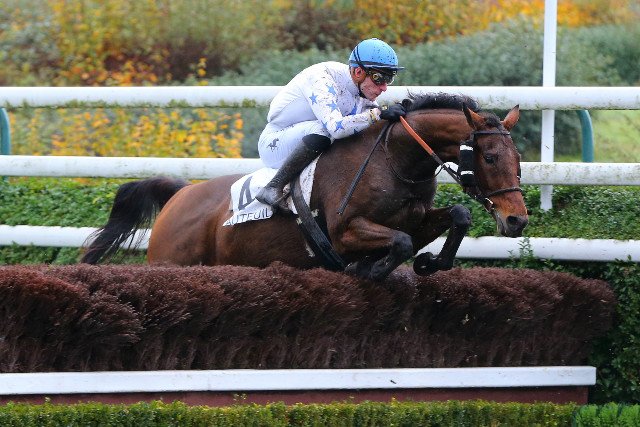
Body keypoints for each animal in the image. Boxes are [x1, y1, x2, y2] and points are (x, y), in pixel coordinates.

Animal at [81, 93, 528, 281]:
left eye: (519, 161)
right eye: (490, 158)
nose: (517, 220)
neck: (393, 159)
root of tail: (180, 194)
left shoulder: (416, 218)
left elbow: (457, 215)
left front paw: (431, 263)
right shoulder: (344, 232)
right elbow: (398, 243)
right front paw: (369, 269)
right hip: (172, 263)